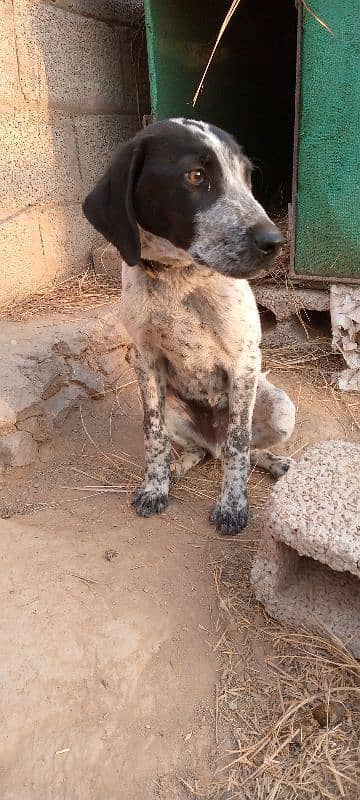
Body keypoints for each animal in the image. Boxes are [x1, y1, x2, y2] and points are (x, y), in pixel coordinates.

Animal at [83, 119, 296, 536]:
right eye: (196, 176)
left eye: (246, 176)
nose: (275, 241)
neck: (178, 278)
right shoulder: (145, 360)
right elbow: (153, 437)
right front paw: (155, 486)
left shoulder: (244, 362)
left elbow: (239, 443)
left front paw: (232, 506)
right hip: (173, 410)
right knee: (200, 450)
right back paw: (177, 467)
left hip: (280, 408)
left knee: (241, 449)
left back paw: (274, 462)